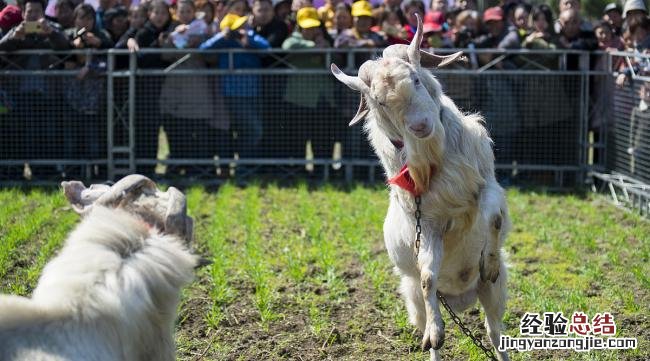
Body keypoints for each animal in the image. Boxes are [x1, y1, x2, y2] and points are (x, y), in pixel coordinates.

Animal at [332, 14, 508, 360]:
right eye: (379, 101)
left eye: (414, 78)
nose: (420, 126)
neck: (432, 158)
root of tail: (459, 297)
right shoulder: (425, 224)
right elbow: (427, 276)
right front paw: (436, 334)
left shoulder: (487, 186)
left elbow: (492, 218)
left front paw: (490, 262)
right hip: (413, 298)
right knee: (430, 313)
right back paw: (433, 340)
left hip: (493, 293)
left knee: (494, 333)